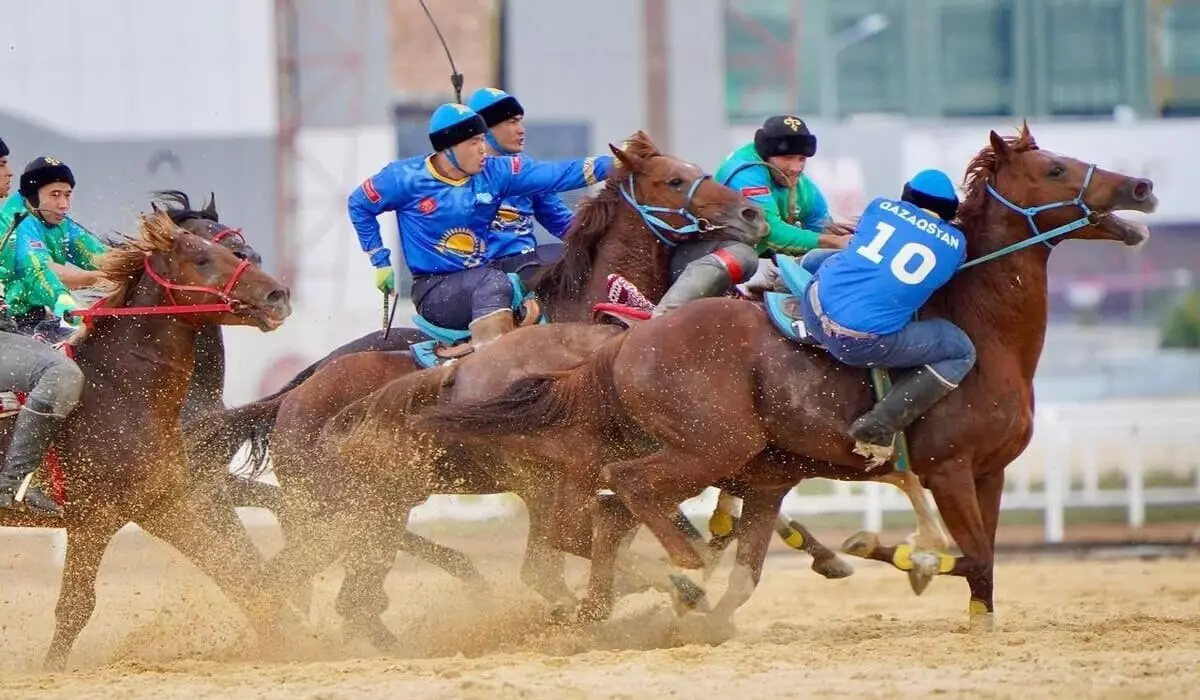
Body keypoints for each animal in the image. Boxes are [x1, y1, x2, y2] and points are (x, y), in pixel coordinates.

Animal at [0, 211, 294, 672]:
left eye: (241, 252)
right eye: (203, 258)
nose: (277, 294)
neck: (118, 389)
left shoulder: (164, 505)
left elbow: (237, 571)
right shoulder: (93, 518)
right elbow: (75, 607)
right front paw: (51, 670)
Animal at [408, 123, 1156, 633]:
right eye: (1056, 167)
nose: (1142, 186)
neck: (977, 324)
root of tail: (625, 345)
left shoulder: (987, 473)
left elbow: (986, 564)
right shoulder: (946, 469)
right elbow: (969, 557)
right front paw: (891, 553)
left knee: (604, 526)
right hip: (695, 448)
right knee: (620, 501)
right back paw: (679, 574)